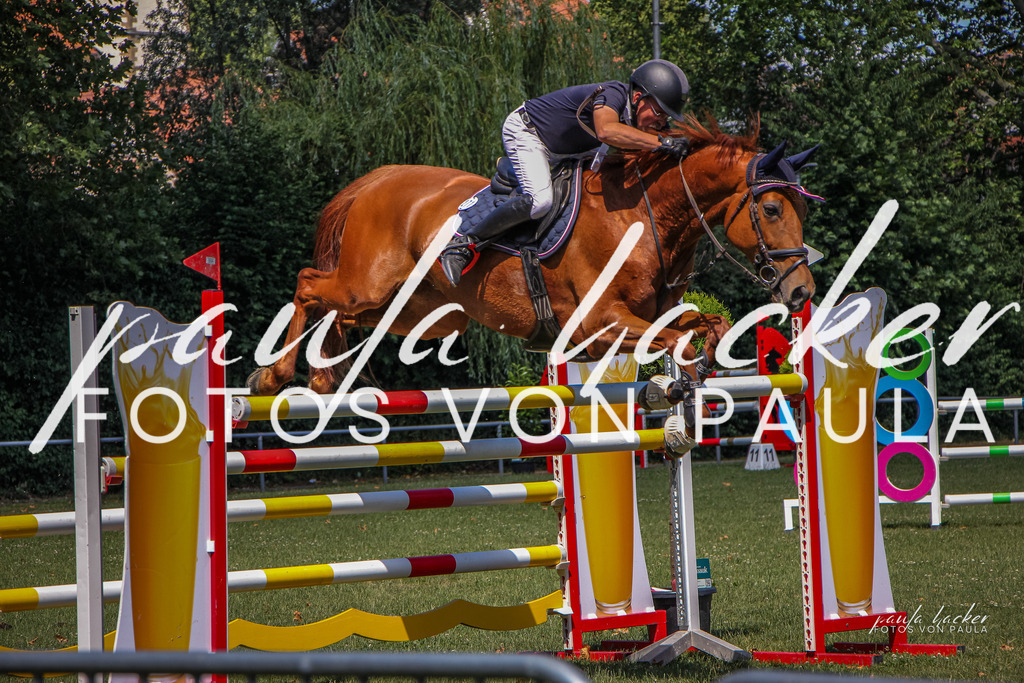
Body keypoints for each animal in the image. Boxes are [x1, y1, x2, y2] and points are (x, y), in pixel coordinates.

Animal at [247, 115, 819, 397]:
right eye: (771, 208)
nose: (802, 292)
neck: (644, 214)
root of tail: (376, 179)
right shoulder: (598, 323)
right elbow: (678, 338)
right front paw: (682, 376)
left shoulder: (645, 315)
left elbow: (708, 323)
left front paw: (700, 366)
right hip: (366, 284)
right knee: (308, 284)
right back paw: (276, 377)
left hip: (417, 312)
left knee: (338, 312)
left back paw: (324, 376)